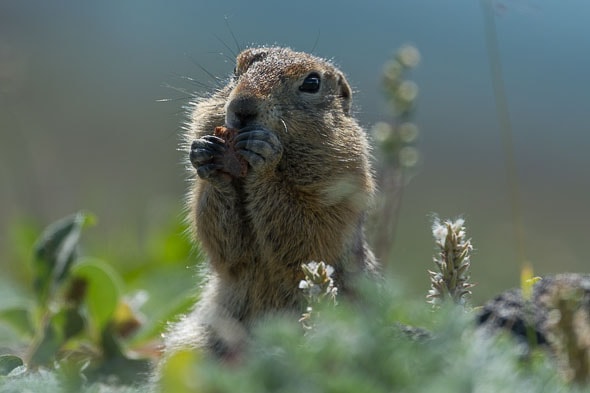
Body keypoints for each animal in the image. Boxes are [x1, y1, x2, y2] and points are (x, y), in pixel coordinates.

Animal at [163, 46, 380, 358]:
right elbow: (225, 248)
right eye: (236, 70)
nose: (242, 107)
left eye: (312, 83)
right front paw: (206, 154)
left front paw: (265, 156)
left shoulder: (340, 194)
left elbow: (308, 234)